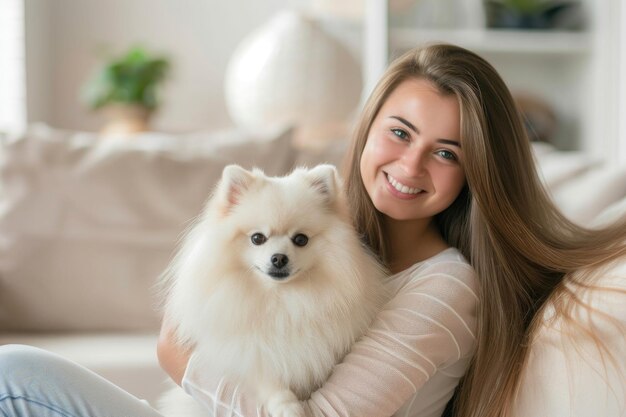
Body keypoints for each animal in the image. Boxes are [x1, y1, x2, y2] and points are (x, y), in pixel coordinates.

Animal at [157, 164, 386, 416]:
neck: (280, 297)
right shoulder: (246, 351)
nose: (278, 258)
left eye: (301, 239)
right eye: (257, 238)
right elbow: (267, 377)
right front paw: (289, 407)